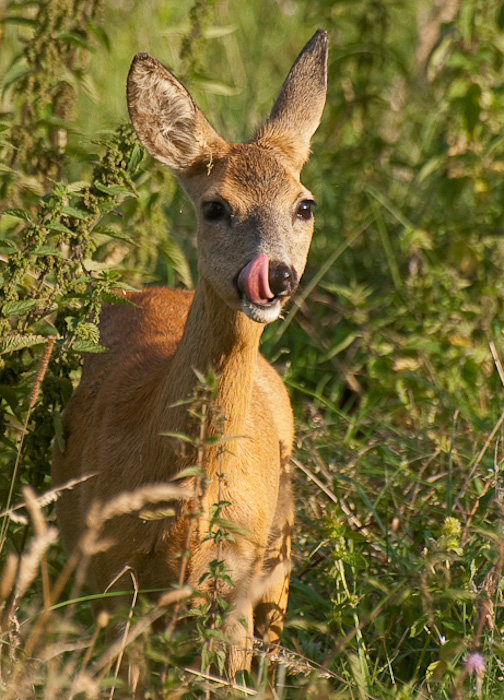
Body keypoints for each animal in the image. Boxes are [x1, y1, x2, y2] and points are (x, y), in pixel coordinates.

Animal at [50, 30, 326, 680]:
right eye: (215, 207)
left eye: (304, 205)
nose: (275, 276)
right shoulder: (105, 568)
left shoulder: (236, 576)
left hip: (279, 549)